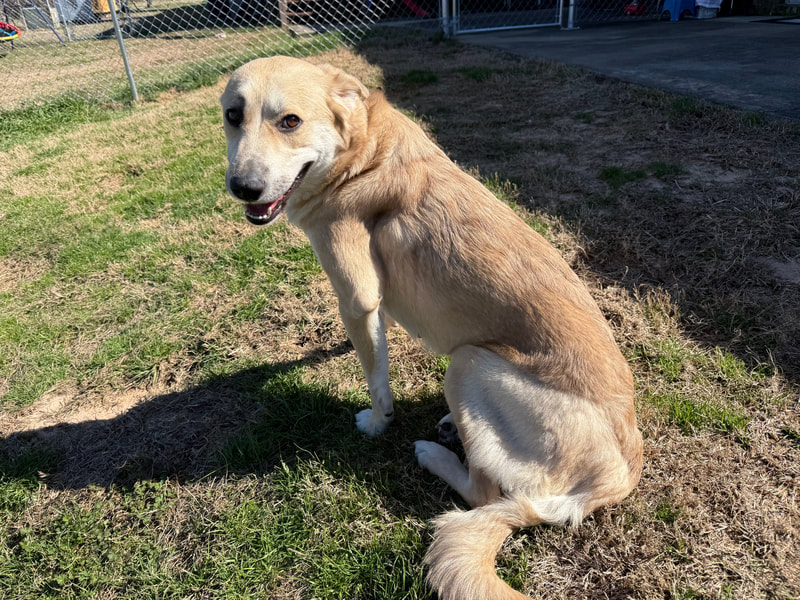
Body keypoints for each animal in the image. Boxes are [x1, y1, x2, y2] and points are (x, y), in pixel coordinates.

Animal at [221, 56, 643, 600]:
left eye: (289, 121)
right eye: (233, 116)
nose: (242, 188)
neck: (363, 155)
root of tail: (616, 477)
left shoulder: (357, 296)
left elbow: (376, 377)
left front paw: (378, 424)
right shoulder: (369, 303)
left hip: (469, 362)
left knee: (482, 494)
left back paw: (431, 452)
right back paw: (448, 427)